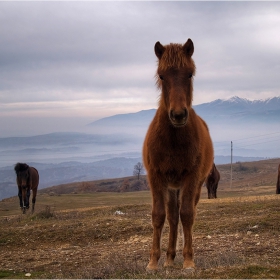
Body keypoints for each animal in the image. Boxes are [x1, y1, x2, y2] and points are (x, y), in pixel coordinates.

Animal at [143, 39, 213, 272]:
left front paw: (189, 260)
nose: (178, 115)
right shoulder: (156, 178)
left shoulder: (191, 179)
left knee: (182, 215)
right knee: (172, 218)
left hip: (193, 186)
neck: (172, 139)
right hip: (172, 187)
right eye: (162, 75)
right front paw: (153, 261)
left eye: (189, 74)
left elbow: (187, 215)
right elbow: (158, 216)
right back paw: (169, 258)